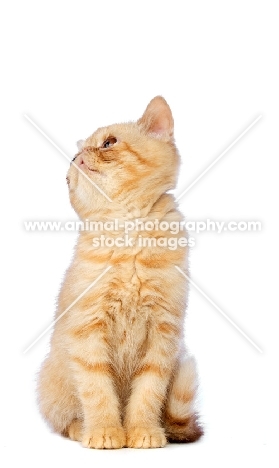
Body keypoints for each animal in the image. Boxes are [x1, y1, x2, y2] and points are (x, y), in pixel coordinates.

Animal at [37, 96, 203, 450]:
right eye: (73, 158)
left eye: (109, 143)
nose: (77, 158)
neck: (126, 231)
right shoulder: (87, 329)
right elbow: (97, 389)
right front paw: (105, 431)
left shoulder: (163, 333)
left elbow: (148, 392)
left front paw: (142, 431)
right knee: (63, 419)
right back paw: (80, 428)